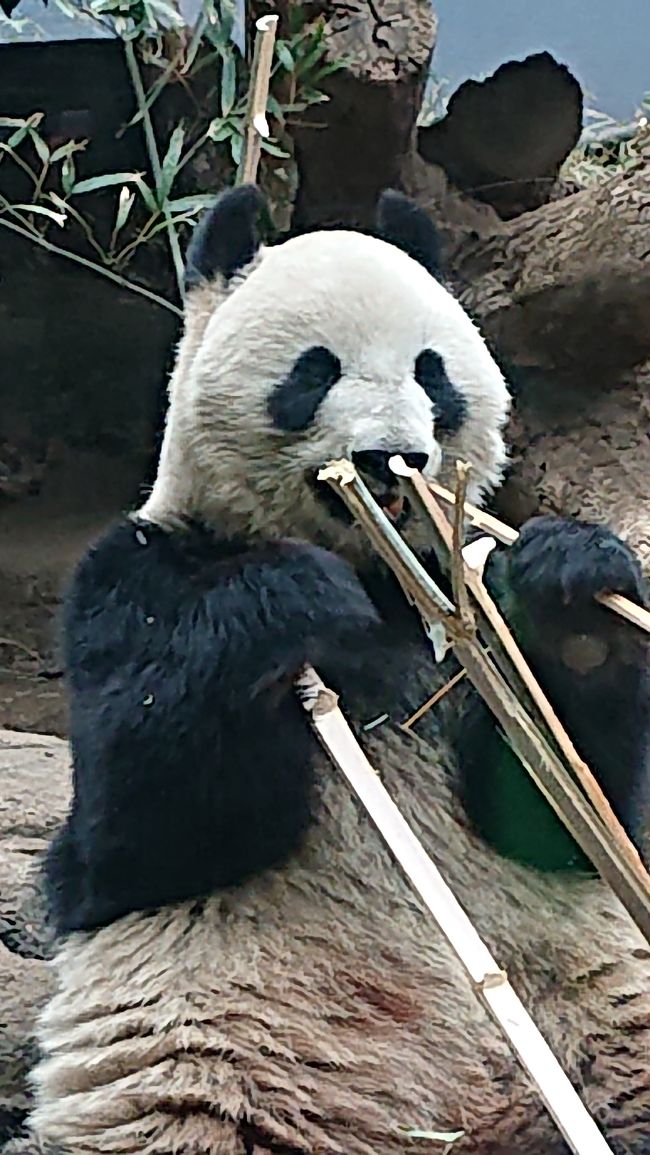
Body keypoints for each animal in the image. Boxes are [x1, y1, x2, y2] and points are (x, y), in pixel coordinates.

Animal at [29, 184, 650, 1150]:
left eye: (432, 372)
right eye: (314, 371)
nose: (389, 458)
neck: (376, 564)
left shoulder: (456, 600)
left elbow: (560, 811)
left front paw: (570, 581)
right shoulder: (128, 582)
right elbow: (132, 837)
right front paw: (294, 596)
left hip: (611, 1033)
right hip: (206, 1075)